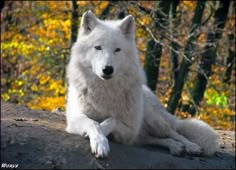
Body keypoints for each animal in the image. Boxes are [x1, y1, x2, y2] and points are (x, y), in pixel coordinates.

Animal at [65, 10, 218, 158]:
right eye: (98, 47)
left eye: (117, 50)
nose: (107, 69)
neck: (105, 90)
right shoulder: (75, 119)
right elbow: (94, 123)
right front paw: (99, 142)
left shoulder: (130, 130)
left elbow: (111, 120)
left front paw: (101, 134)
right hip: (143, 135)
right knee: (155, 139)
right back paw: (176, 147)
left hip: (154, 120)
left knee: (174, 133)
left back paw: (191, 146)